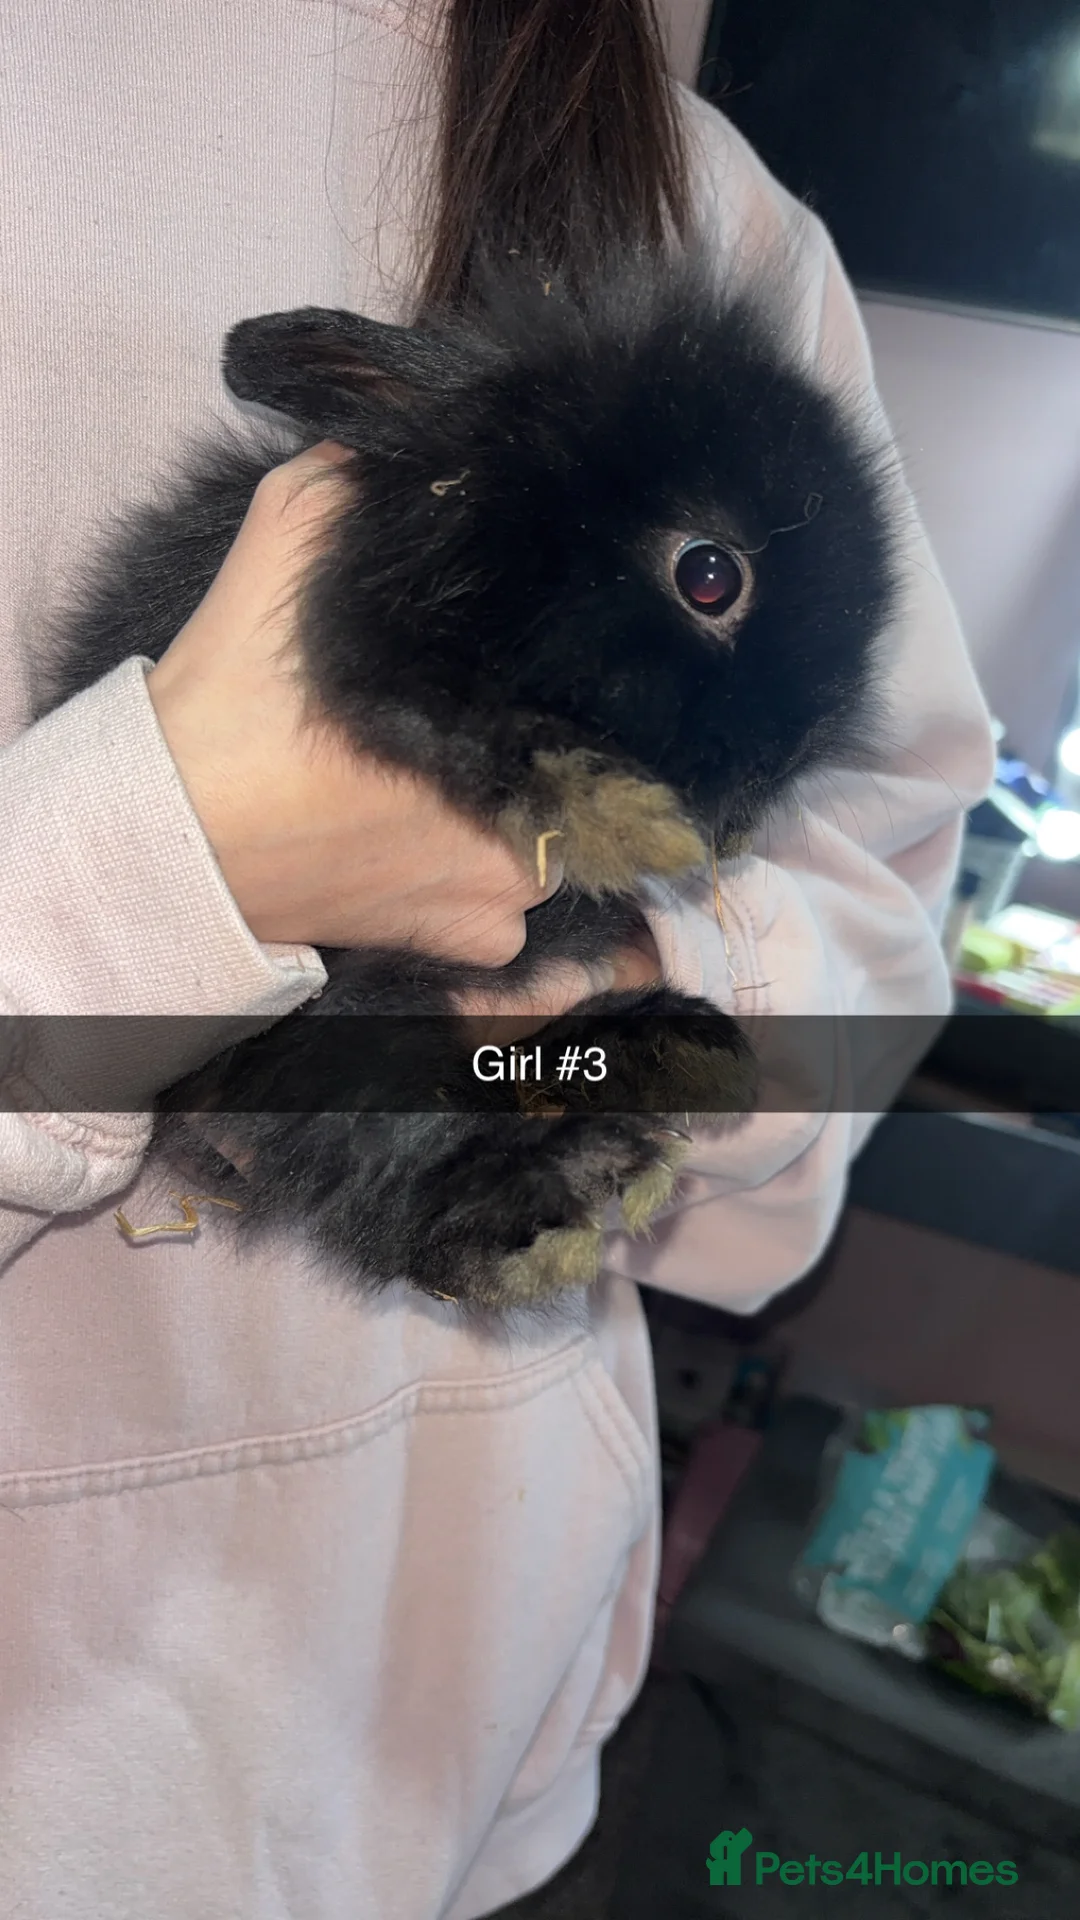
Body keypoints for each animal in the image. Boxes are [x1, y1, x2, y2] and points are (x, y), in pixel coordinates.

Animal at [34, 242, 900, 1314]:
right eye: (709, 576)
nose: (789, 753)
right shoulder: (379, 649)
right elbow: (468, 727)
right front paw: (617, 812)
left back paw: (680, 1053)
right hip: (344, 1031)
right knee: (401, 1181)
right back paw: (566, 1191)